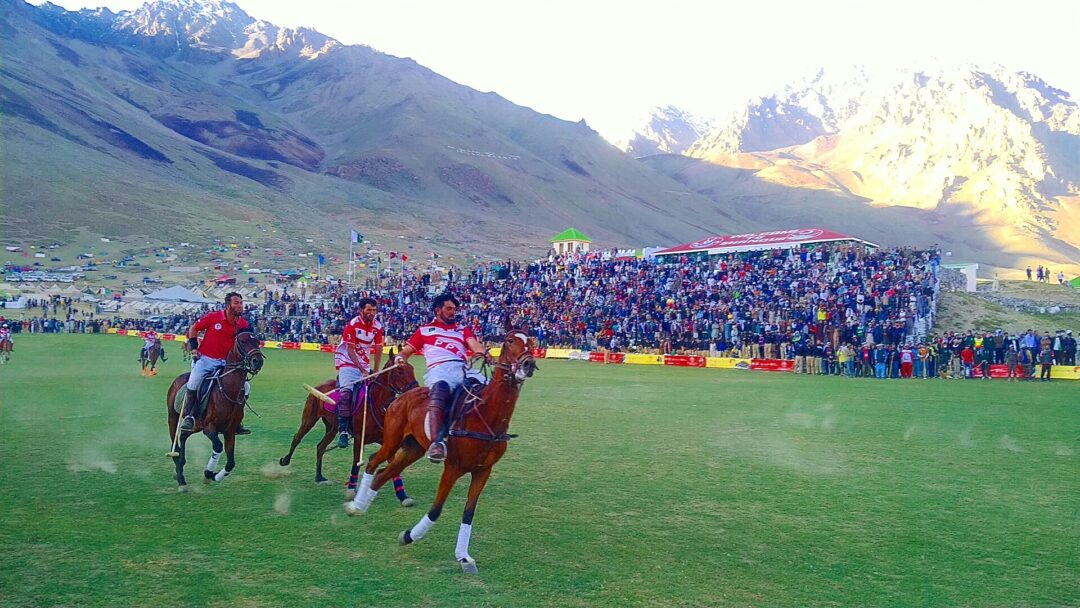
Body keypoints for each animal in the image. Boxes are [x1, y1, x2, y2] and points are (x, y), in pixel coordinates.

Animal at [164, 330, 265, 492]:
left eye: (257, 342)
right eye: (242, 342)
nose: (258, 361)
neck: (228, 390)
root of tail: (178, 379)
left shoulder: (230, 430)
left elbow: (231, 462)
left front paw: (215, 476)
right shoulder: (209, 428)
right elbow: (218, 447)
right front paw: (208, 474)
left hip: (196, 425)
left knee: (184, 436)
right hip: (173, 419)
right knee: (176, 446)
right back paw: (181, 479)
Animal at [278, 349, 416, 507]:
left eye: (412, 369)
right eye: (399, 371)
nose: (416, 389)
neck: (377, 403)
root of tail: (320, 385)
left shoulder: (388, 443)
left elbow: (394, 468)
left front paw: (403, 496)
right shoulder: (358, 438)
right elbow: (356, 462)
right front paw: (351, 490)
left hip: (332, 427)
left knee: (320, 447)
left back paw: (319, 477)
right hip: (309, 418)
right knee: (297, 438)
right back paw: (285, 461)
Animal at [343, 319, 537, 574]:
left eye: (531, 341)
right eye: (510, 340)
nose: (528, 364)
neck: (486, 414)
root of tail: (398, 398)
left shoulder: (483, 471)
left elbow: (469, 513)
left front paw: (464, 557)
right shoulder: (453, 467)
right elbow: (436, 509)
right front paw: (408, 536)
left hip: (413, 448)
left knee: (384, 473)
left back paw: (365, 504)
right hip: (392, 441)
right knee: (374, 461)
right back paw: (356, 505)